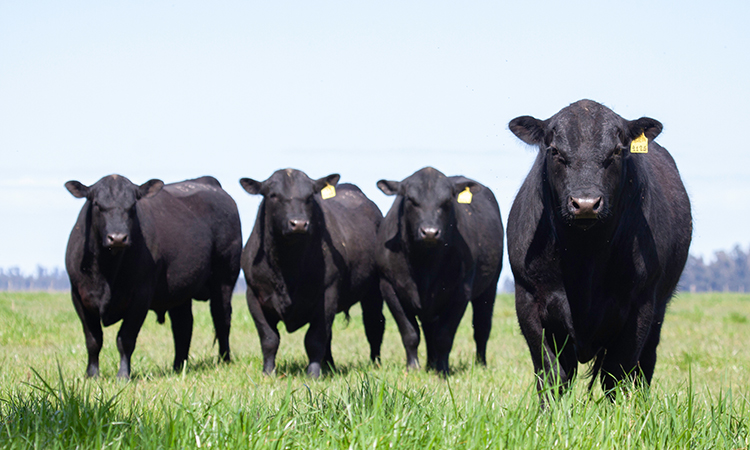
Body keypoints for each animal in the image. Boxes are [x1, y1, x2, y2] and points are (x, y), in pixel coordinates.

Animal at [65, 174, 242, 378]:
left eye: (132, 205)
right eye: (97, 204)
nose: (117, 238)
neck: (106, 272)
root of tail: (208, 181)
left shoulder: (141, 296)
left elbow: (125, 338)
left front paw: (123, 375)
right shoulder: (78, 296)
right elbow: (93, 340)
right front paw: (92, 375)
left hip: (225, 278)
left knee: (221, 318)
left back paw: (224, 360)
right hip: (180, 290)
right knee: (183, 326)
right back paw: (178, 366)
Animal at [241, 168, 384, 376]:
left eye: (309, 196)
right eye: (273, 195)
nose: (299, 223)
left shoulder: (327, 295)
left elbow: (314, 339)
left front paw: (313, 374)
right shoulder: (253, 295)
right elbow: (269, 338)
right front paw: (268, 372)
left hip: (374, 290)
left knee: (374, 324)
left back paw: (375, 363)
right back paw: (329, 365)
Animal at [376, 167, 506, 374]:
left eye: (446, 201)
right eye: (411, 199)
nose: (430, 232)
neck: (424, 264)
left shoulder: (461, 292)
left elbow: (444, 336)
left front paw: (443, 370)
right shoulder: (389, 287)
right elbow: (410, 333)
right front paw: (413, 367)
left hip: (490, 286)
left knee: (482, 328)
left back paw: (480, 364)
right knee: (429, 330)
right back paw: (430, 363)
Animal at [512, 100, 692, 400]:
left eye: (617, 151)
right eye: (555, 150)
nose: (585, 203)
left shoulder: (640, 305)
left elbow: (616, 374)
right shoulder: (528, 298)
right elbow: (551, 373)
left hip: (659, 311)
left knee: (645, 365)